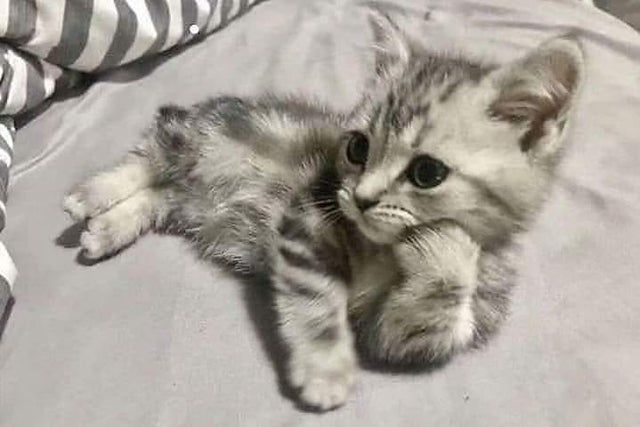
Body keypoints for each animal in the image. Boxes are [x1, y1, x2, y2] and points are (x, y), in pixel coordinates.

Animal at [62, 13, 584, 412]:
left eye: (427, 172)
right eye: (357, 147)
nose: (362, 197)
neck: (382, 250)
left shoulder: (394, 332)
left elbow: (434, 316)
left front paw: (446, 244)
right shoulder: (307, 218)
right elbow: (316, 301)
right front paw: (326, 372)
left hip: (187, 198)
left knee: (160, 195)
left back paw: (106, 229)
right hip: (196, 139)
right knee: (150, 154)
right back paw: (91, 195)